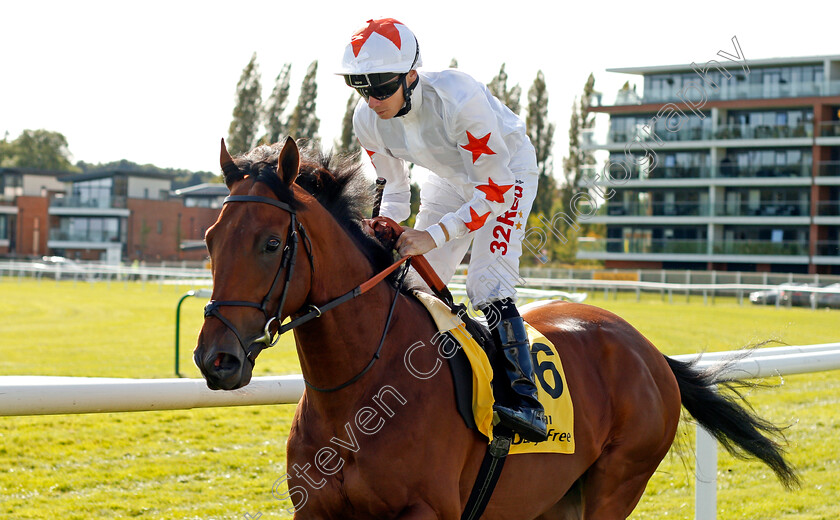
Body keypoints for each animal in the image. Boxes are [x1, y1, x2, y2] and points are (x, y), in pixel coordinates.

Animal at [194, 138, 796, 520]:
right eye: (210, 238)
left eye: (272, 243)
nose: (215, 359)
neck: (358, 393)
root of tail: (647, 350)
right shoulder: (316, 510)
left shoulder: (426, 511)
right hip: (554, 500)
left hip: (617, 485)